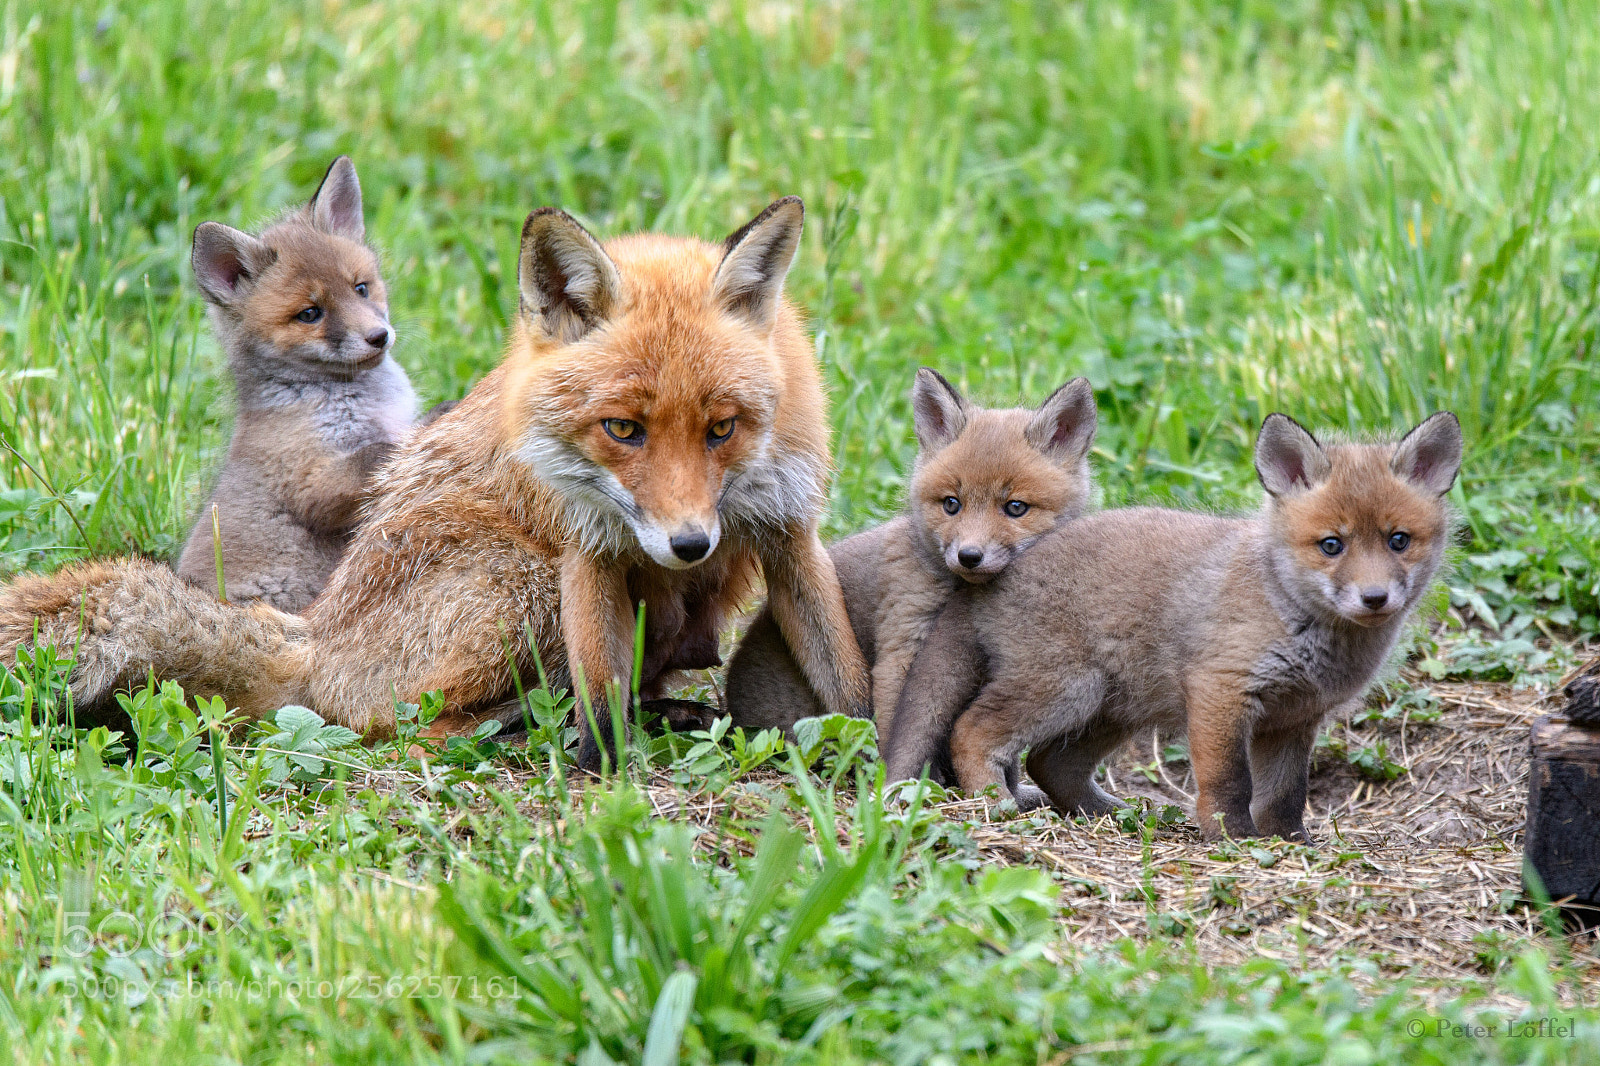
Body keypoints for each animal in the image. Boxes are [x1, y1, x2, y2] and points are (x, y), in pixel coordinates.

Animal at [724, 368, 1097, 753]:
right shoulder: (903, 641)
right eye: (951, 504)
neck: (955, 591)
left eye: (1016, 508)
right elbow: (899, 726)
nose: (969, 556)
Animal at [883, 411, 1463, 841]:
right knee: (971, 731)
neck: (1296, 617)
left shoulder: (1293, 719)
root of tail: (981, 579)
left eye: (1398, 540)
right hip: (1067, 688)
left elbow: (1286, 795)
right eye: (1332, 545)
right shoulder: (1221, 690)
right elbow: (1229, 782)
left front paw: (1289, 845)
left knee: (1051, 764)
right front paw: (1232, 839)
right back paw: (994, 804)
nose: (1374, 598)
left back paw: (1109, 814)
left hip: (1114, 706)